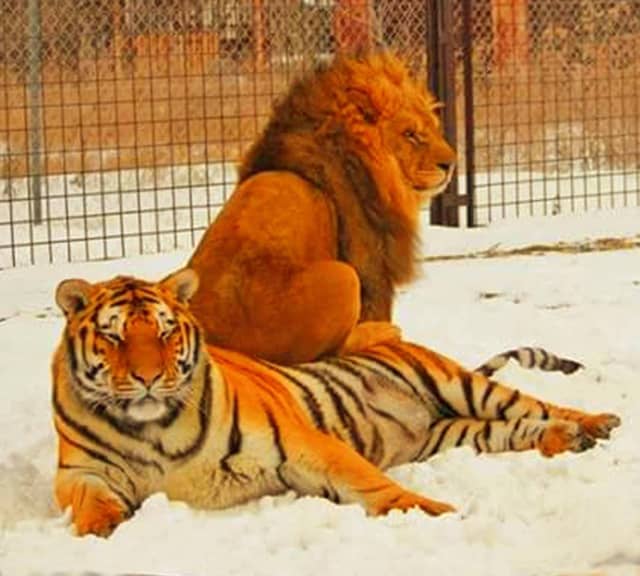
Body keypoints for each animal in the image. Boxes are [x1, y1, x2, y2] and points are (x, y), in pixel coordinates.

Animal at [52, 268, 624, 536]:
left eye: (166, 333)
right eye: (115, 336)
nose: (149, 378)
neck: (152, 426)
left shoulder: (300, 444)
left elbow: (373, 484)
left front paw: (434, 513)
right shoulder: (80, 472)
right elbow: (89, 502)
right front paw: (104, 527)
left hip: (462, 386)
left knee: (536, 404)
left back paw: (598, 422)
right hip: (458, 433)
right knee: (519, 430)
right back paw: (569, 440)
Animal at [188, 51, 458, 362]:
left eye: (434, 130)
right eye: (410, 134)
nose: (451, 164)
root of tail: (213, 337)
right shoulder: (370, 266)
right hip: (344, 277)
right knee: (329, 352)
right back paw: (382, 332)